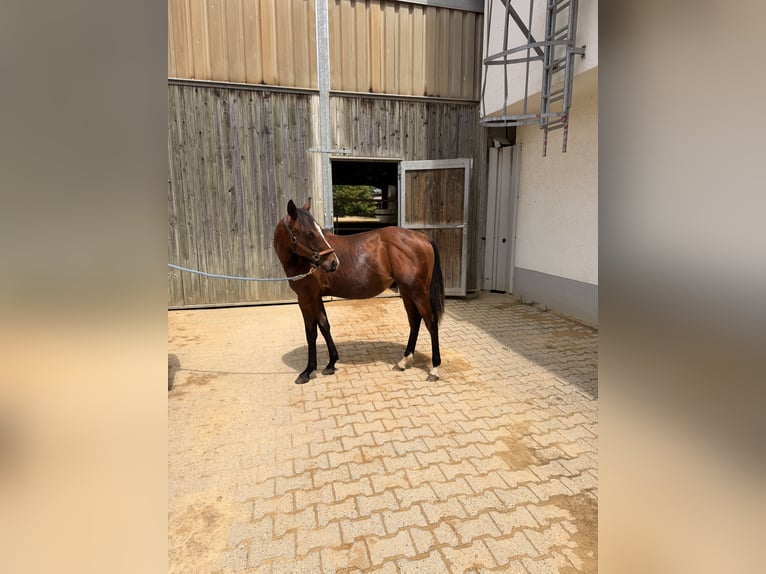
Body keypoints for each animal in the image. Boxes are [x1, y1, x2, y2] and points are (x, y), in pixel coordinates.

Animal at [274, 198, 444, 385]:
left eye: (316, 231)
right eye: (309, 233)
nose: (333, 262)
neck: (301, 261)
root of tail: (423, 238)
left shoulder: (306, 298)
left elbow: (311, 332)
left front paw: (307, 371)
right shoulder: (316, 297)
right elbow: (324, 326)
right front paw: (331, 364)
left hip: (418, 292)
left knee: (431, 323)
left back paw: (434, 369)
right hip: (407, 292)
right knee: (414, 321)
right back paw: (403, 362)